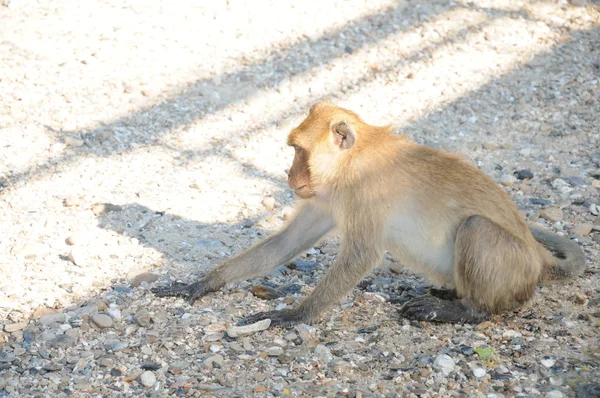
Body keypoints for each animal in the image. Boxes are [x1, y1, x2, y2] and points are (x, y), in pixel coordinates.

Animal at [151, 102, 584, 326]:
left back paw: (467, 310)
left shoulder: (364, 192)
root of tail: (538, 256)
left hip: (515, 270)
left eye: (298, 152)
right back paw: (450, 293)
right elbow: (286, 244)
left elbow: (361, 255)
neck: (351, 161)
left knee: (477, 230)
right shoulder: (329, 195)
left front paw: (296, 314)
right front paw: (201, 283)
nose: (289, 175)